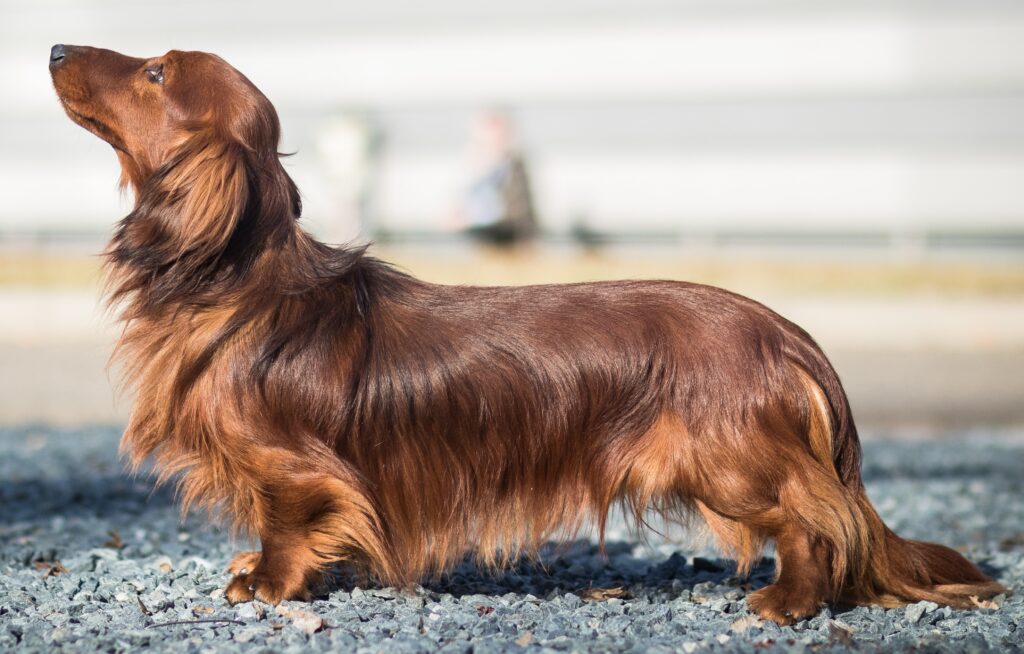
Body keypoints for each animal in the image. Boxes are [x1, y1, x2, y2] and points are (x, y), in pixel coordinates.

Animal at [48, 44, 999, 622]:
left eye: (157, 73)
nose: (55, 48)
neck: (241, 283)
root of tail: (788, 333)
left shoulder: (296, 468)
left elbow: (290, 522)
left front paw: (269, 584)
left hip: (730, 461)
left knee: (815, 519)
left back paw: (788, 601)